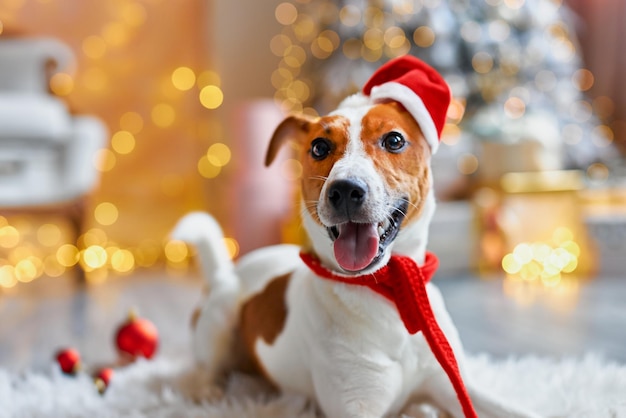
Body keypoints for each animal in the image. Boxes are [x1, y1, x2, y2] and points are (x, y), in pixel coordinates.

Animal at [172, 56, 536, 418]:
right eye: (319, 147)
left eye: (394, 140)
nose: (345, 190)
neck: (391, 291)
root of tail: (230, 270)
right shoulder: (356, 407)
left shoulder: (454, 387)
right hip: (220, 317)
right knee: (207, 368)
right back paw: (209, 393)